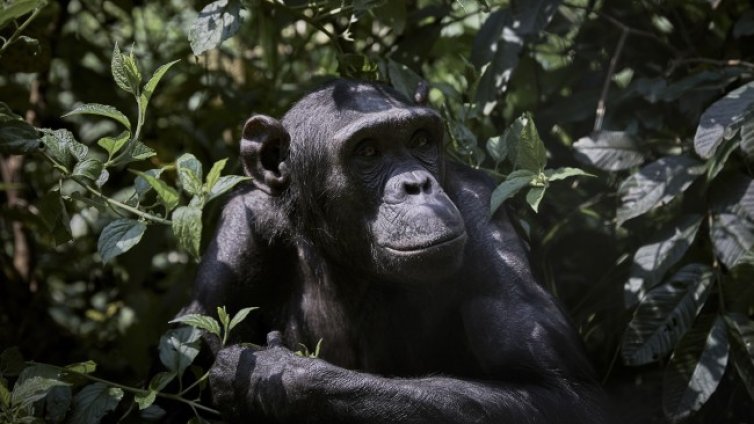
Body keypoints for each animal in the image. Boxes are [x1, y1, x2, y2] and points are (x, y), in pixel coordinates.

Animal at [181, 80, 604, 424]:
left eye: (420, 140)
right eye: (368, 151)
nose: (416, 184)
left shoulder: (486, 218)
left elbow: (564, 395)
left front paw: (273, 379)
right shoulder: (239, 233)